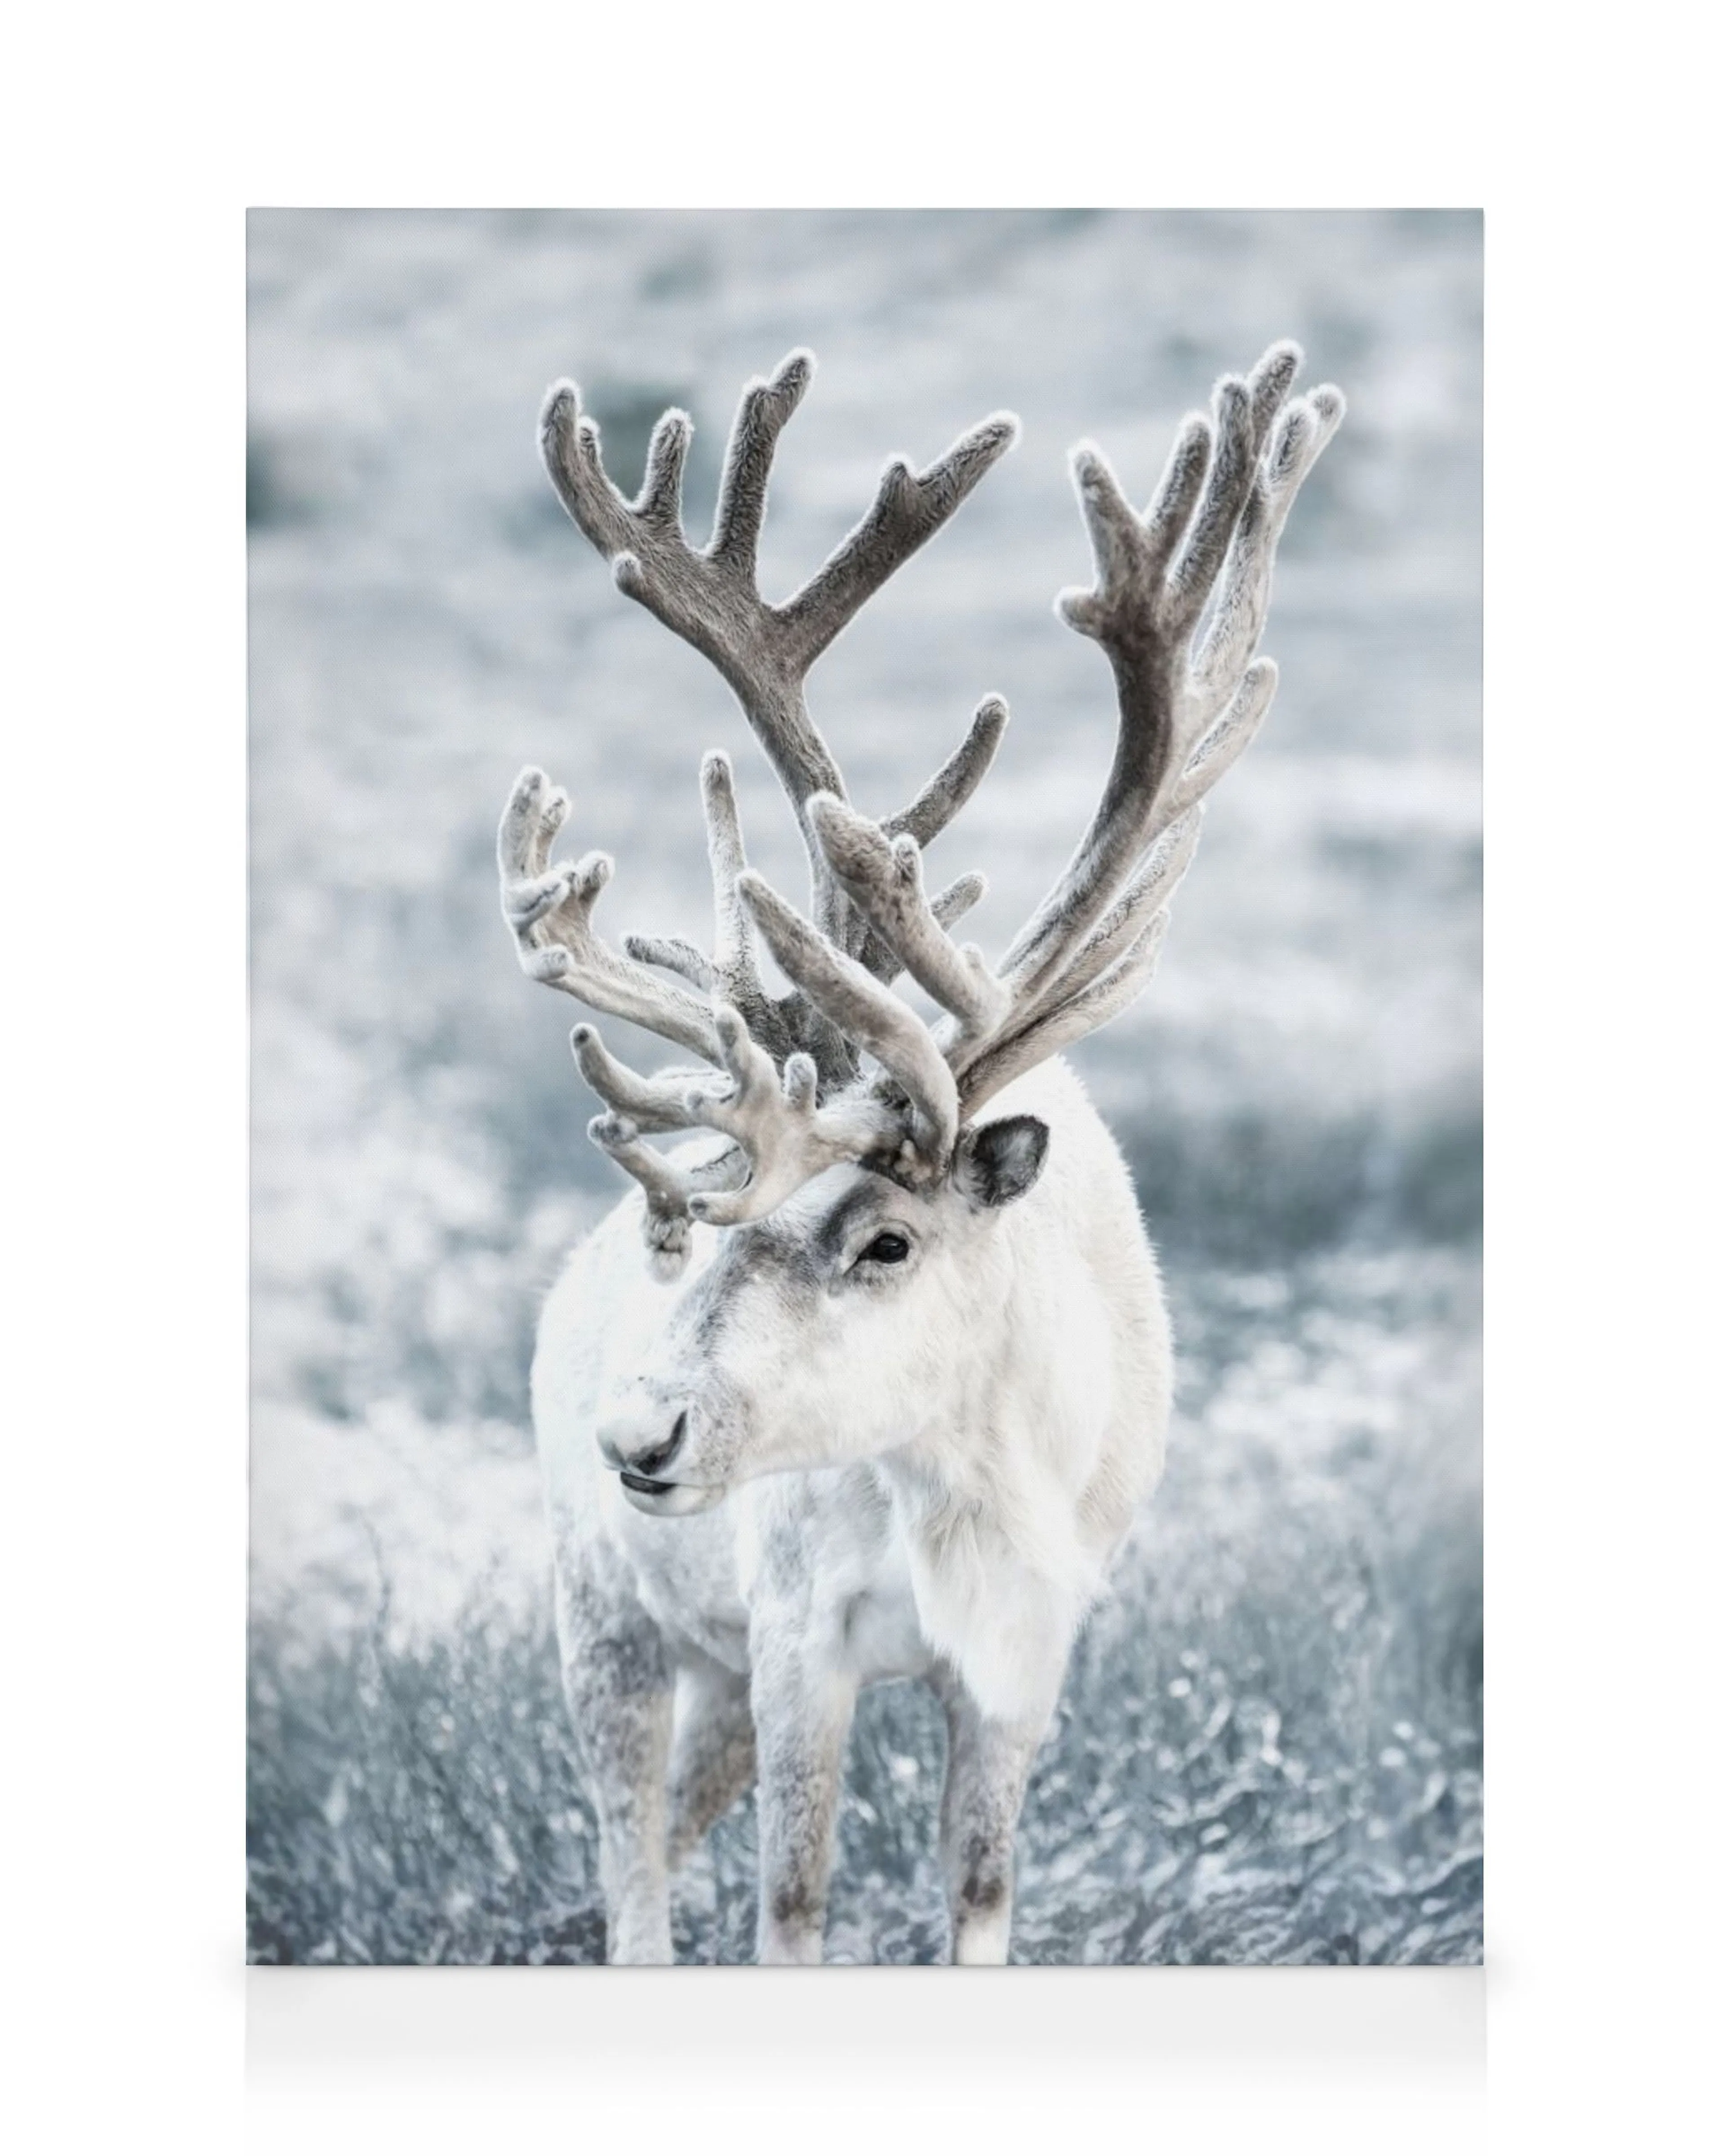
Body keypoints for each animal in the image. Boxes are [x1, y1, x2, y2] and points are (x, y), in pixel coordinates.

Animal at [498, 341, 1343, 1963]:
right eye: (722, 1228)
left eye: (888, 1238)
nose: (642, 1435)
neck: (968, 1486)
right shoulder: (793, 1632)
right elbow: (794, 1904)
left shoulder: (1030, 1653)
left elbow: (980, 1897)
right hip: (604, 1611)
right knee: (631, 1868)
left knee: (669, 1830)